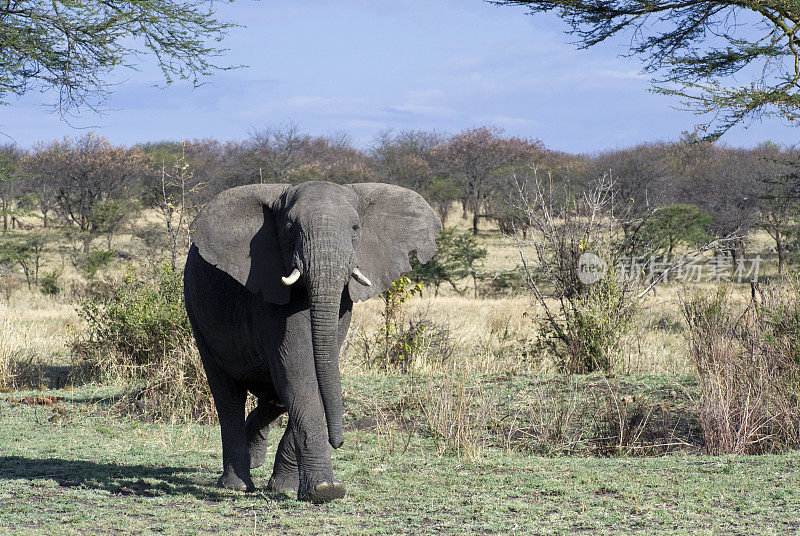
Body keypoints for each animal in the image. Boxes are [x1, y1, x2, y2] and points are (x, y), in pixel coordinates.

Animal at [184, 180, 440, 502]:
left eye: (356, 227)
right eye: (289, 228)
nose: (338, 442)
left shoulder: (343, 302)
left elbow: (314, 371)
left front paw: (287, 487)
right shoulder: (268, 286)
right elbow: (300, 372)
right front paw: (325, 490)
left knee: (274, 395)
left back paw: (255, 457)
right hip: (197, 311)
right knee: (227, 393)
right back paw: (237, 485)